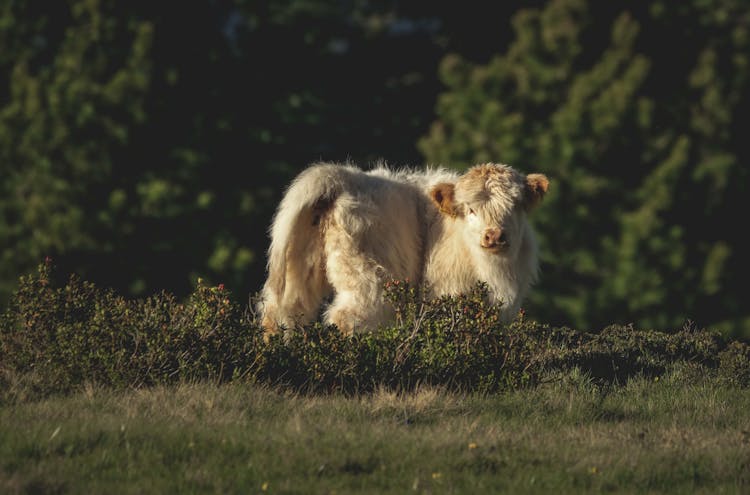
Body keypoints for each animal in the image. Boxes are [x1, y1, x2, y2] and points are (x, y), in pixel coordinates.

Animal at [262, 163, 548, 340]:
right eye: (470, 209)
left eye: (515, 206)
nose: (494, 235)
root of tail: (342, 176)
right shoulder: (448, 294)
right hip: (371, 280)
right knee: (346, 318)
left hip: (299, 269)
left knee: (280, 313)